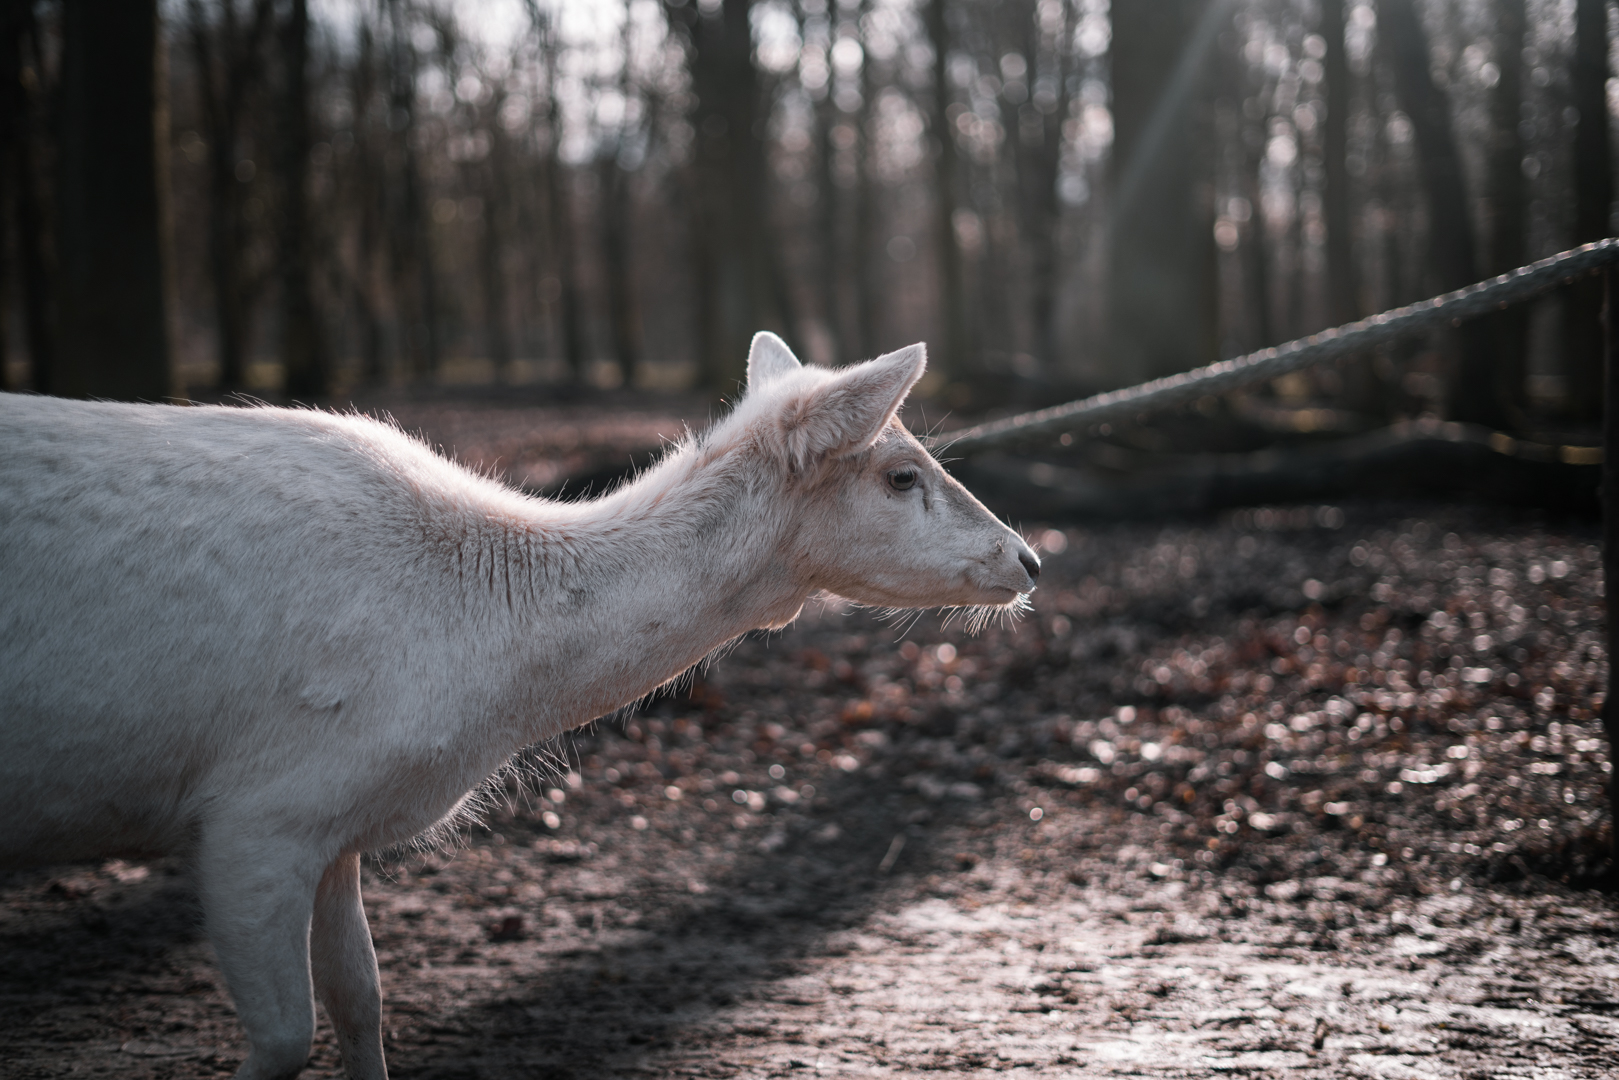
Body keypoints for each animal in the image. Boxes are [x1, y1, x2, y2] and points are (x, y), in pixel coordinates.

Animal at [0, 333, 1039, 1079]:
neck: (487, 675)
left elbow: (361, 1003)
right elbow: (287, 1039)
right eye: (901, 475)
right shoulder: (252, 813)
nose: (1027, 559)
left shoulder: (332, 819)